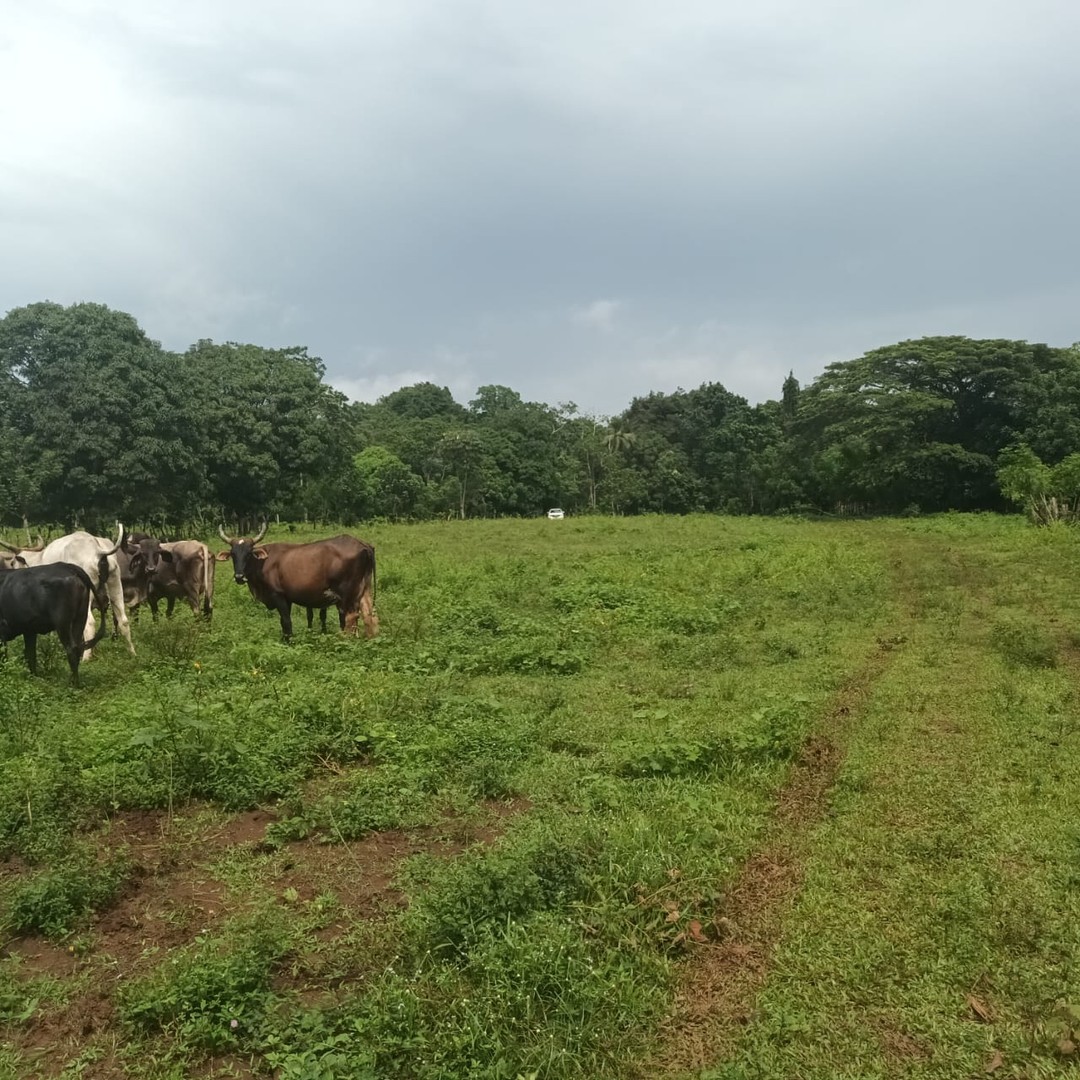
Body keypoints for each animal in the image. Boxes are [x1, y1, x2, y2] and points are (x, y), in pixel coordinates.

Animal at [213, 522, 375, 639]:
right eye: (233, 554)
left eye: (248, 553)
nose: (239, 576)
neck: (263, 562)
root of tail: (363, 545)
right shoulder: (287, 598)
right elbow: (283, 622)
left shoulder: (277, 595)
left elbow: (286, 621)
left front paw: (289, 641)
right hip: (363, 590)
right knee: (367, 614)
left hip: (345, 595)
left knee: (348, 618)